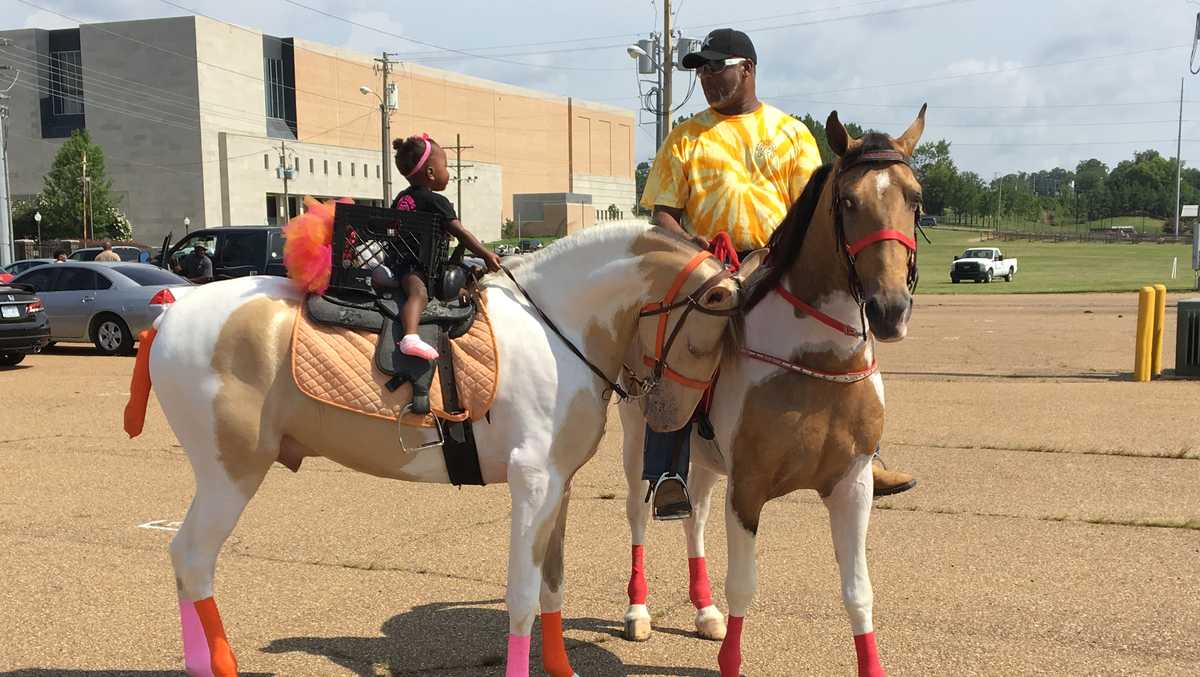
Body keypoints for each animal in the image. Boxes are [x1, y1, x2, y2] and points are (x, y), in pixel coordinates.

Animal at [124, 223, 739, 677]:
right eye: (705, 337)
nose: (673, 416)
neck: (553, 330)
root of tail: (169, 315)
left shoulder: (557, 488)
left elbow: (551, 587)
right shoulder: (532, 483)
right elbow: (521, 597)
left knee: (186, 563)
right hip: (230, 474)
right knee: (193, 560)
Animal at [619, 108, 926, 672]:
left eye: (914, 198)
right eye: (847, 201)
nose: (889, 309)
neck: (814, 364)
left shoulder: (852, 486)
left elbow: (858, 592)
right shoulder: (749, 487)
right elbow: (744, 585)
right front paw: (730, 660)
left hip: (704, 463)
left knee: (694, 518)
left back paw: (704, 612)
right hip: (636, 444)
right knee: (637, 516)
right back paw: (638, 611)